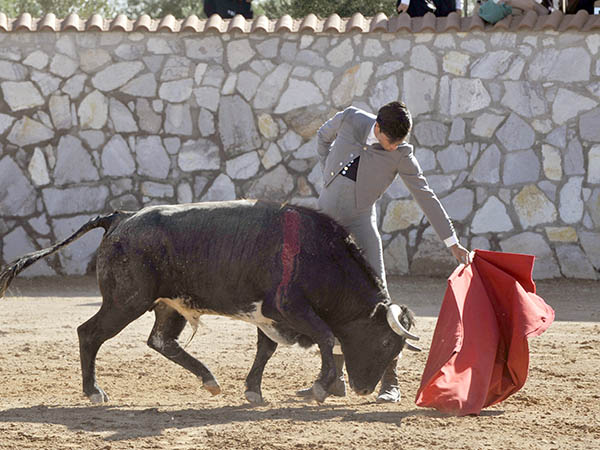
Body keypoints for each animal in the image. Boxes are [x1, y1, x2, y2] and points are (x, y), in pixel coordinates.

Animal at [0, 200, 420, 404]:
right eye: (385, 341)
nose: (364, 388)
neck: (318, 253)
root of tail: (120, 217)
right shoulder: (288, 308)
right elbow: (327, 338)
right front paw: (319, 387)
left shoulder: (268, 315)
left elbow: (266, 349)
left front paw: (253, 391)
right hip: (125, 301)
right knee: (89, 333)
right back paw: (93, 392)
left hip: (166, 304)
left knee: (160, 340)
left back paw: (209, 380)